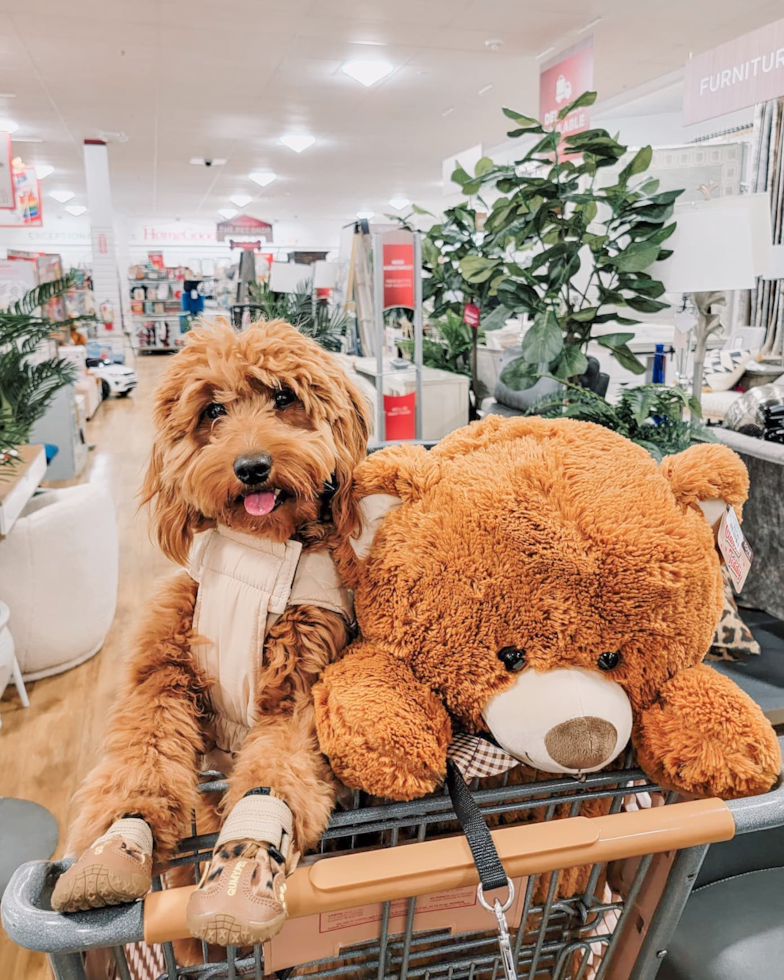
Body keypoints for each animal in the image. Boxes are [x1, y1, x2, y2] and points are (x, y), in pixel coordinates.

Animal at [52, 318, 370, 944]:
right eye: (214, 411)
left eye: (284, 398)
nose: (251, 467)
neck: (256, 556)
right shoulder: (166, 669)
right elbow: (144, 749)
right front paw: (118, 839)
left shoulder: (299, 685)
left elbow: (278, 767)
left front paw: (246, 860)